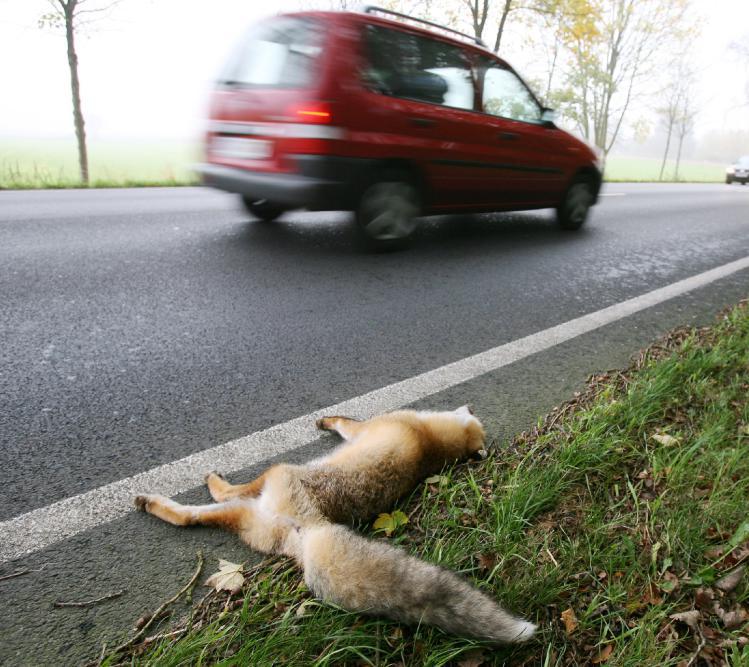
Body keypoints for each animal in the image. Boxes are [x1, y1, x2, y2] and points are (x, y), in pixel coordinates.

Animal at [136, 410, 536, 644]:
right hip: (248, 518)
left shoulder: (366, 427)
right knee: (189, 517)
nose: (469, 408)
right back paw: (153, 504)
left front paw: (327, 421)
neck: (430, 441)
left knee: (224, 495)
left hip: (271, 477)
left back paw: (208, 482)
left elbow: (345, 424)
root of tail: (313, 528)